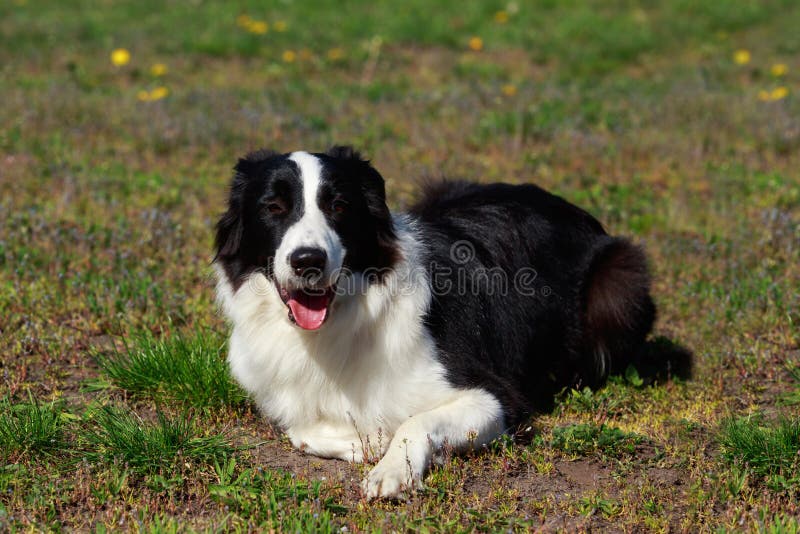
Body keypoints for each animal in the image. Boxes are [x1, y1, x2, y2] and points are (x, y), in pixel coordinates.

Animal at [212, 146, 656, 498]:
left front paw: (390, 468)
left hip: (620, 279)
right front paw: (368, 443)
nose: (309, 261)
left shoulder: (496, 397)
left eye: (338, 206)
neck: (339, 322)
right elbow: (301, 431)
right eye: (273, 208)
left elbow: (415, 421)